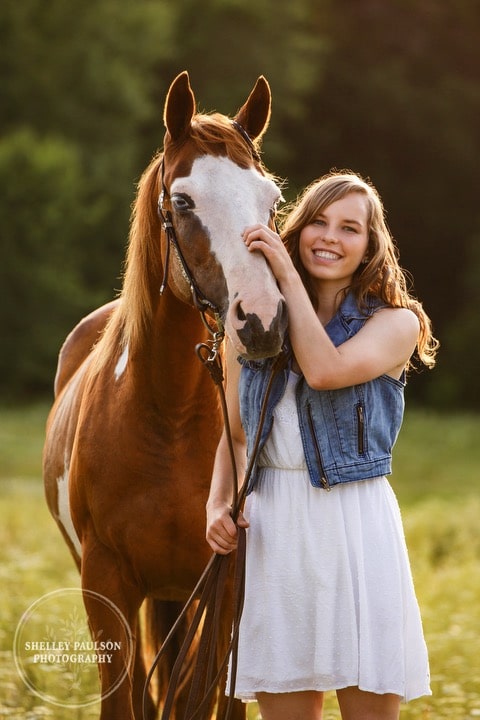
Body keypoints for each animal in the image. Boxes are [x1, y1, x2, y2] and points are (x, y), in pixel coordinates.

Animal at [42, 69, 284, 720]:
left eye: (271, 201)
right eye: (183, 201)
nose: (264, 320)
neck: (168, 416)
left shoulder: (228, 585)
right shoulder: (106, 585)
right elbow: (128, 697)